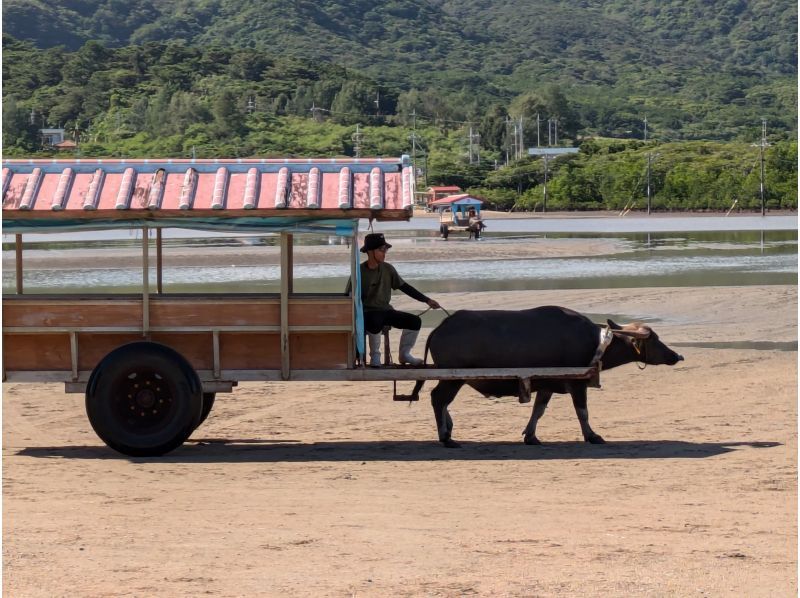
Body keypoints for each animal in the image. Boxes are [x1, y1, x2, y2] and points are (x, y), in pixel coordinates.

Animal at [416, 308, 684, 448]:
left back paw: (449, 430)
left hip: (452, 379)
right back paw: (446, 437)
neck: (595, 343)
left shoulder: (546, 385)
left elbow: (538, 410)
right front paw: (592, 436)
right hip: (452, 378)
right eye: (654, 339)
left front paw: (531, 436)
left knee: (441, 401)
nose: (677, 355)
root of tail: (441, 327)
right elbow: (582, 412)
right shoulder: (577, 384)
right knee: (438, 399)